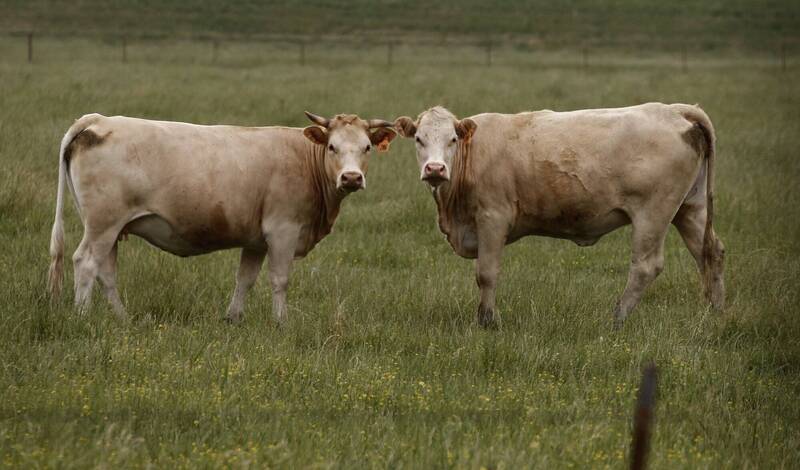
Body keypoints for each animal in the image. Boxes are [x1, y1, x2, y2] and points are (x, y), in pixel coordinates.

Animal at [47, 111, 396, 324]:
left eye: (367, 147)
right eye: (333, 147)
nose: (351, 178)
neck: (303, 158)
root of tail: (99, 120)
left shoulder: (256, 239)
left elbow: (245, 279)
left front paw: (233, 319)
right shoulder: (283, 231)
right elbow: (279, 280)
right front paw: (281, 323)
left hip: (112, 227)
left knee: (106, 272)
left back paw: (122, 319)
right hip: (102, 224)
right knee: (85, 264)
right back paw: (82, 316)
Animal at [394, 104, 724, 328]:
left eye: (452, 139)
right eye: (419, 139)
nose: (435, 169)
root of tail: (675, 110)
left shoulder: (492, 218)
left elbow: (486, 274)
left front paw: (488, 321)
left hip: (653, 213)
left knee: (645, 267)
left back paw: (617, 318)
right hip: (690, 208)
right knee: (710, 253)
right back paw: (714, 312)